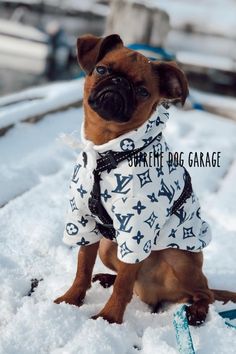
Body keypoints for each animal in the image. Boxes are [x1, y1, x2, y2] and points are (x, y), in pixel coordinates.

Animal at [54, 34, 236, 324]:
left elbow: (123, 286)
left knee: (203, 292)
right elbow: (82, 269)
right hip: (108, 246)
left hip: (178, 258)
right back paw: (107, 278)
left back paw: (197, 311)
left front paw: (109, 318)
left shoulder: (136, 233)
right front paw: (71, 300)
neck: (108, 152)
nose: (119, 83)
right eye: (101, 69)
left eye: (143, 92)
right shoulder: (84, 223)